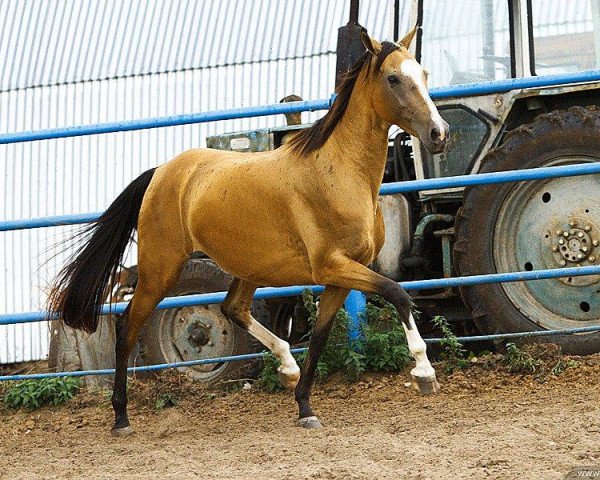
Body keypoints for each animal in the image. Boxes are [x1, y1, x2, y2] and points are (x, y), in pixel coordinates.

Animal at [50, 28, 446, 436]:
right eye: (393, 78)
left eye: (424, 74)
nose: (439, 133)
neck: (340, 172)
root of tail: (162, 172)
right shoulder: (332, 266)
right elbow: (397, 293)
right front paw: (424, 374)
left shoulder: (342, 274)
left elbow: (320, 337)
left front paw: (305, 407)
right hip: (161, 268)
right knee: (128, 324)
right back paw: (121, 418)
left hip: (247, 266)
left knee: (233, 308)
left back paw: (287, 367)